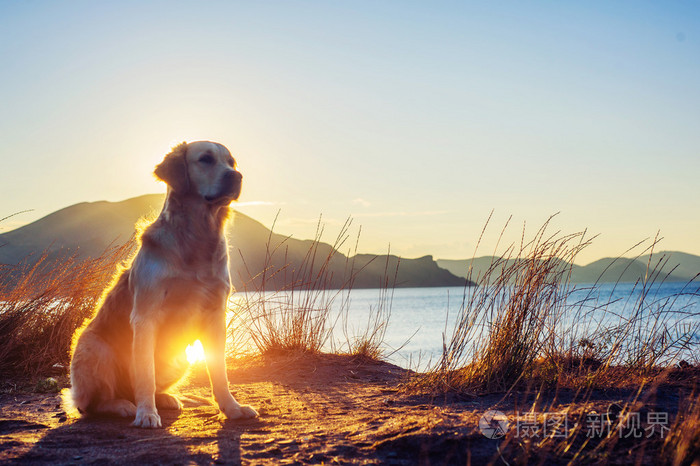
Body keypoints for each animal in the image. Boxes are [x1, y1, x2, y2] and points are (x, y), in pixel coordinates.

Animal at [69, 140, 258, 428]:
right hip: (93, 348)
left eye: (231, 162)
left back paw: (165, 399)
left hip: (181, 358)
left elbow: (219, 372)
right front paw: (146, 413)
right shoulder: (145, 316)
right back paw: (123, 405)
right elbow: (145, 374)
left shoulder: (216, 316)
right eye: (206, 159)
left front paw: (232, 408)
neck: (197, 238)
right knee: (91, 404)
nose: (236, 176)